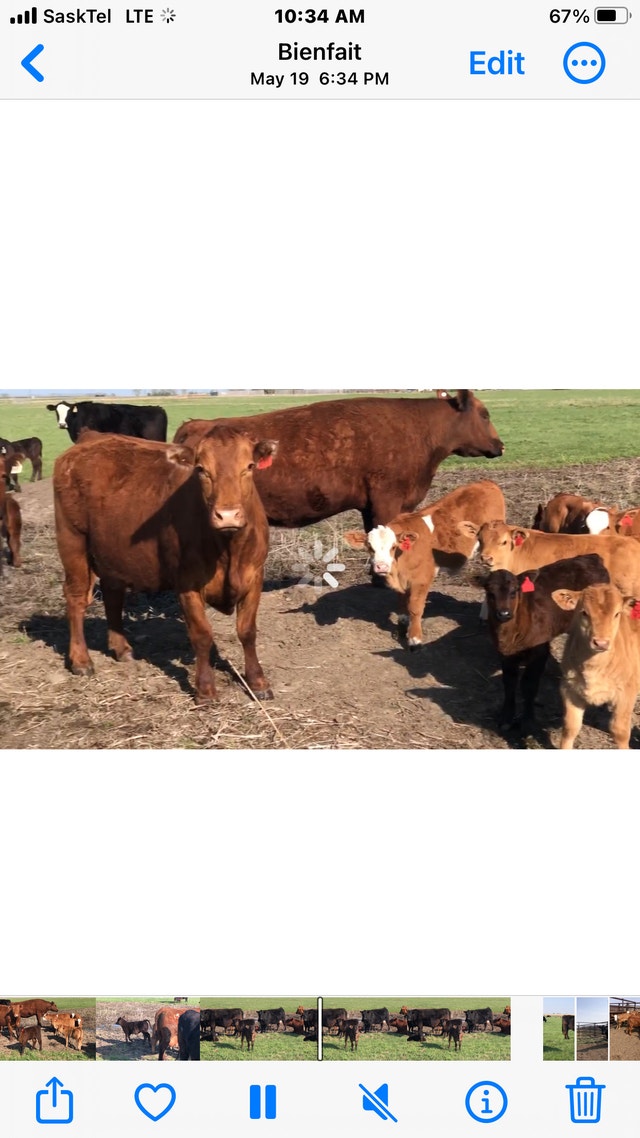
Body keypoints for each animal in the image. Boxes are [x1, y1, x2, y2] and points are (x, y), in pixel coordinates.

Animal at [53, 428, 278, 703]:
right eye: (201, 469)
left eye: (249, 466)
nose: (227, 516)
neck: (228, 549)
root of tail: (91, 436)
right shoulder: (187, 584)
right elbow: (202, 635)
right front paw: (205, 690)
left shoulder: (254, 577)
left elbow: (247, 631)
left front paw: (257, 682)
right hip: (72, 540)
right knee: (75, 597)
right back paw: (81, 660)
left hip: (112, 551)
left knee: (112, 594)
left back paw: (122, 648)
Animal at [344, 480, 505, 648]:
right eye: (369, 546)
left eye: (393, 546)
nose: (381, 567)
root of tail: (486, 482)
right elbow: (402, 605)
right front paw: (402, 628)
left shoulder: (422, 579)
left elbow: (415, 608)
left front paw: (415, 639)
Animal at [478, 554, 610, 733]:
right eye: (489, 592)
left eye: (514, 591)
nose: (504, 614)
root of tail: (592, 557)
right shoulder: (504, 652)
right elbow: (509, 683)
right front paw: (506, 718)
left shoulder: (539, 651)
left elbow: (529, 685)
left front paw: (528, 722)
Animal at [552, 583, 640, 749]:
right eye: (584, 612)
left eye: (617, 614)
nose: (601, 643)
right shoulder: (569, 689)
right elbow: (570, 727)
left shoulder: (627, 691)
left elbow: (620, 731)